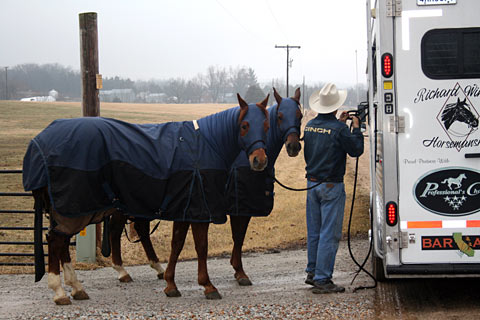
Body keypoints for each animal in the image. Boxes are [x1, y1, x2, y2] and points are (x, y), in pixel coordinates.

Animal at [23, 93, 270, 304]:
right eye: (245, 125)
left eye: (266, 126)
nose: (259, 160)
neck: (204, 145)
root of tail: (39, 143)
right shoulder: (200, 209)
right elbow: (201, 247)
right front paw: (207, 285)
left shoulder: (185, 209)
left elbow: (177, 245)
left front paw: (170, 283)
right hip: (76, 209)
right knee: (56, 240)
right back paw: (60, 291)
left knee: (62, 241)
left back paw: (76, 288)